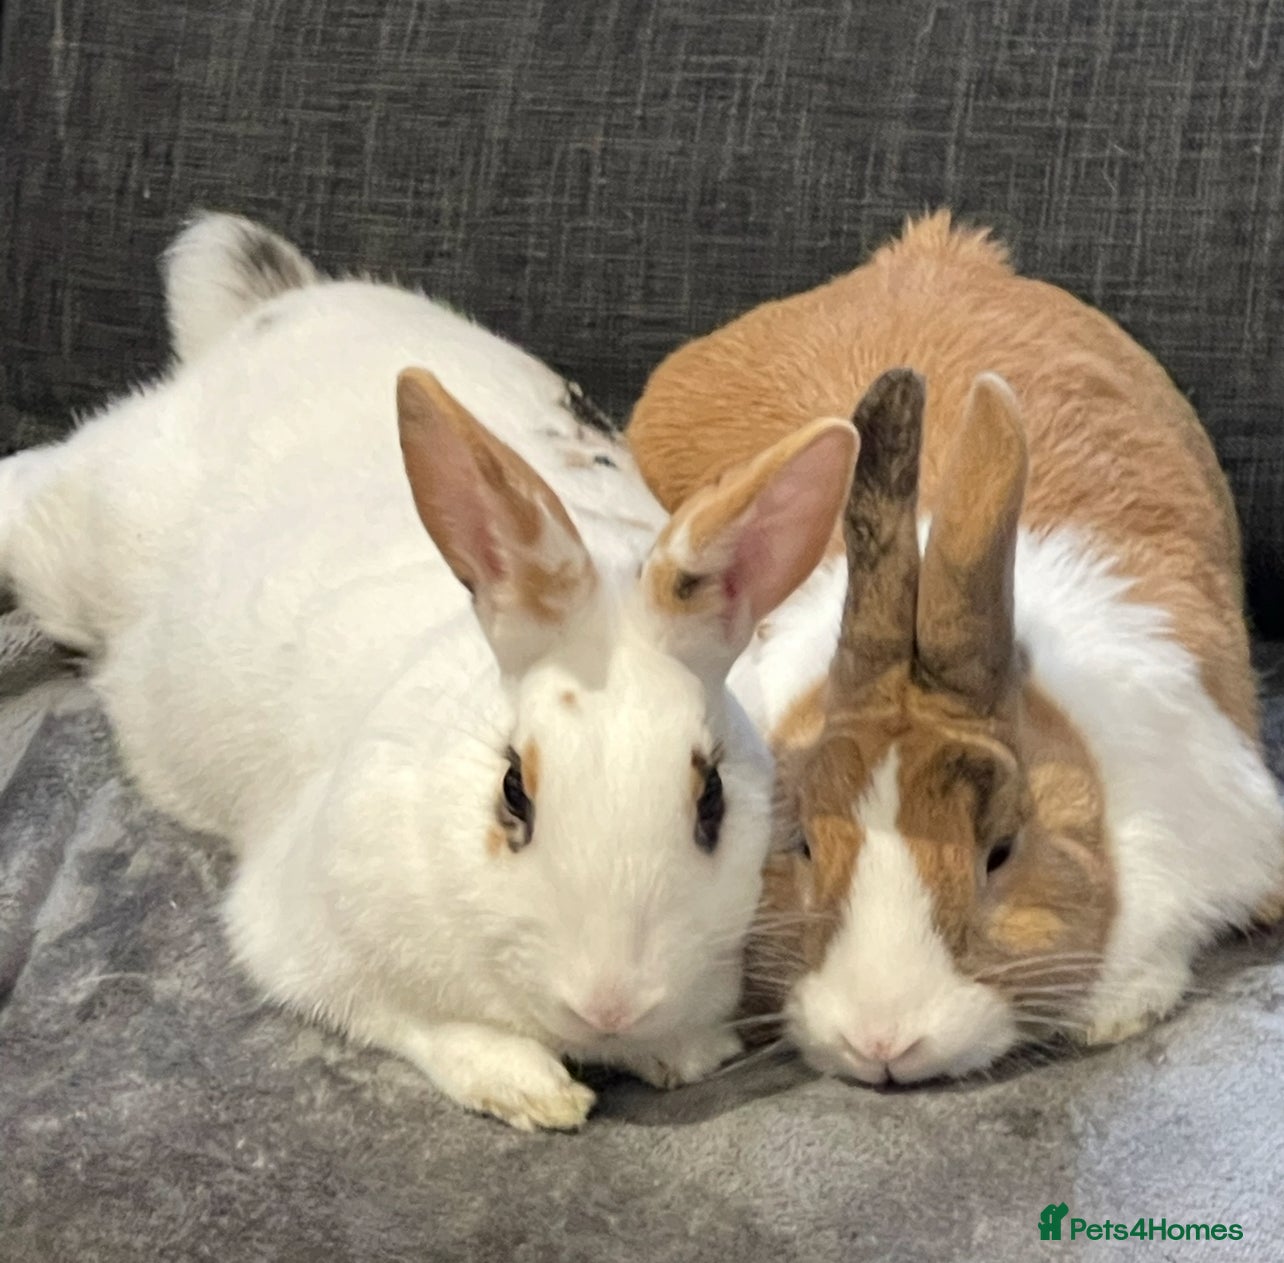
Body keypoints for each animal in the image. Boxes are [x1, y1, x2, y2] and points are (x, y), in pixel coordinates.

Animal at [0, 213, 858, 1127]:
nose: (610, 1002)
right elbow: (417, 1021)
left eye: (712, 800)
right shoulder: (308, 935)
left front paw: (679, 1051)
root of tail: (273, 309)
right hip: (80, 531)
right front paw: (531, 1088)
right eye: (513, 790)